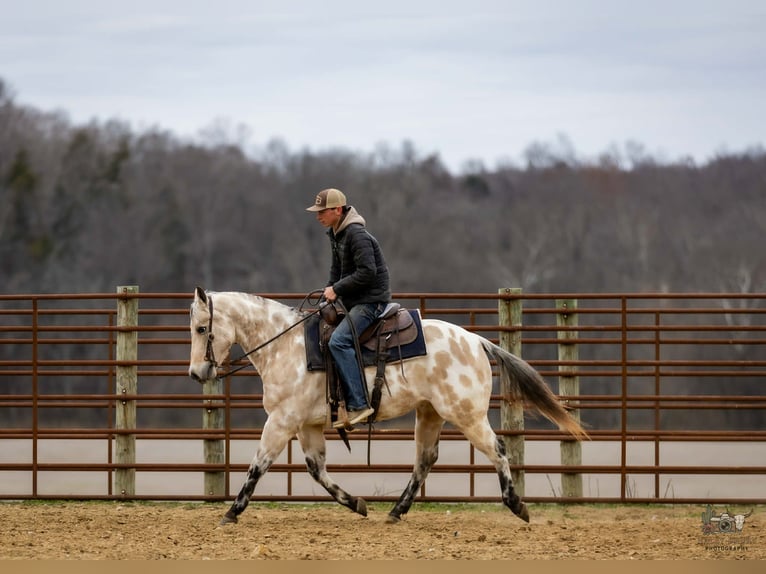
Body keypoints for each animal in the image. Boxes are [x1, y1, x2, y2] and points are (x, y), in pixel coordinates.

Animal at [187, 287, 587, 526]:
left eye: (202, 328)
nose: (196, 373)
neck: (285, 346)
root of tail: (476, 341)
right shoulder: (306, 425)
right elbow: (317, 470)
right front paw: (357, 503)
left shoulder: (281, 421)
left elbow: (258, 465)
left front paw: (231, 512)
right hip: (430, 414)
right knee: (425, 460)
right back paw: (396, 511)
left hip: (467, 415)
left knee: (498, 449)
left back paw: (517, 505)